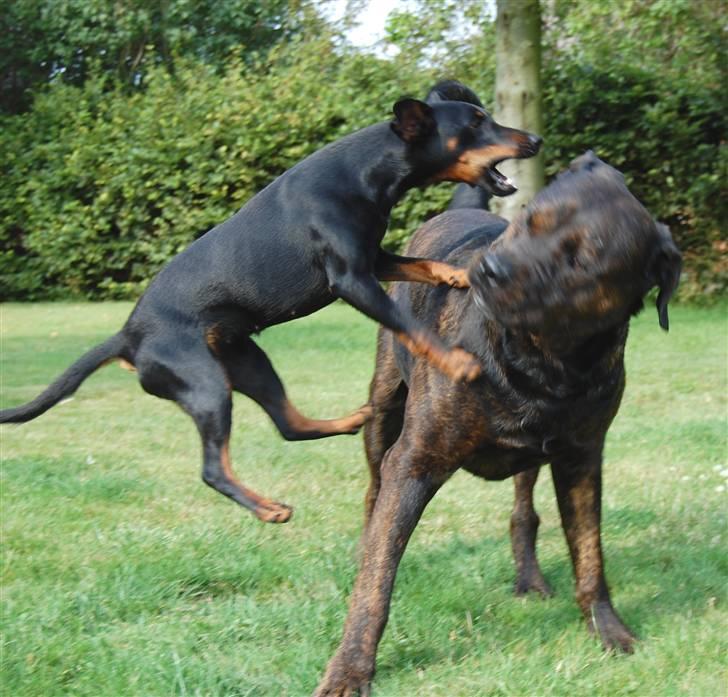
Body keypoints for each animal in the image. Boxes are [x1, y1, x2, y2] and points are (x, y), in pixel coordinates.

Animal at [0, 81, 536, 520]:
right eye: (475, 123)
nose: (534, 140)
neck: (366, 170)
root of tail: (127, 336)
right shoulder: (350, 280)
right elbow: (413, 327)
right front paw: (459, 362)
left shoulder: (374, 258)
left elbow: (417, 262)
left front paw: (457, 273)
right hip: (205, 386)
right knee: (214, 468)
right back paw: (267, 508)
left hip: (250, 364)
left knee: (290, 425)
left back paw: (352, 419)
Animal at [318, 154, 684, 696]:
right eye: (530, 219)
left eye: (581, 261)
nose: (490, 270)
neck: (540, 360)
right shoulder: (415, 460)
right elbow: (376, 581)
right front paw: (350, 668)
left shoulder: (581, 458)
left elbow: (590, 556)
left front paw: (609, 631)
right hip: (383, 407)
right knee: (372, 489)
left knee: (523, 512)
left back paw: (529, 578)